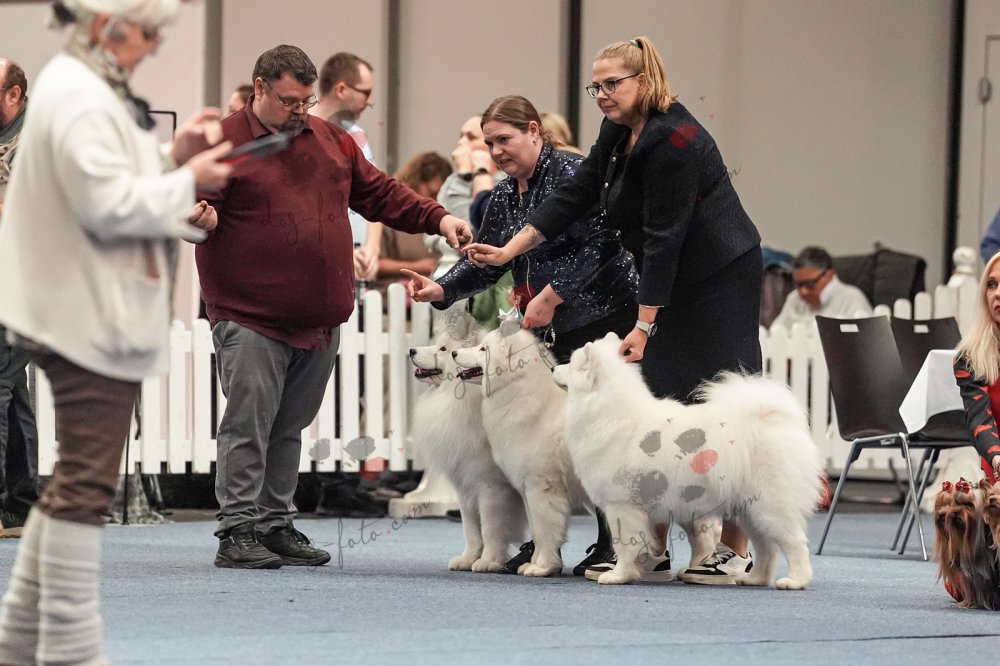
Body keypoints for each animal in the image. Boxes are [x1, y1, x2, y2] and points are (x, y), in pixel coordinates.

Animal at [408, 312, 526, 572]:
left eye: (443, 349)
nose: (411, 350)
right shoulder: (465, 485)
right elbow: (471, 530)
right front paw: (467, 559)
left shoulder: (492, 488)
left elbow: (491, 529)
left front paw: (488, 561)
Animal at [452, 326, 587, 577]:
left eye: (483, 349)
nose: (454, 353)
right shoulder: (526, 490)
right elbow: (536, 530)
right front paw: (534, 563)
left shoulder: (541, 487)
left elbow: (545, 530)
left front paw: (543, 567)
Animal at [552, 332, 823, 588]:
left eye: (571, 362)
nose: (553, 368)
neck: (611, 413)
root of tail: (771, 418)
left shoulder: (622, 506)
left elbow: (625, 546)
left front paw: (618, 576)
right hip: (749, 511)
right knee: (767, 548)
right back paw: (755, 579)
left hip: (770, 506)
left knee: (796, 544)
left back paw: (796, 580)